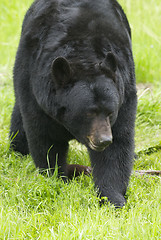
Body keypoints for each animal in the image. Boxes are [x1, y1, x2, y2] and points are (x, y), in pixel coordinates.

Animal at [9, 0, 137, 207]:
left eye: (110, 112)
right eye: (89, 113)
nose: (103, 139)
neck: (83, 56)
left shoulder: (124, 93)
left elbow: (117, 147)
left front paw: (112, 198)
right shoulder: (38, 93)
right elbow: (46, 140)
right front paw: (56, 180)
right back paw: (18, 149)